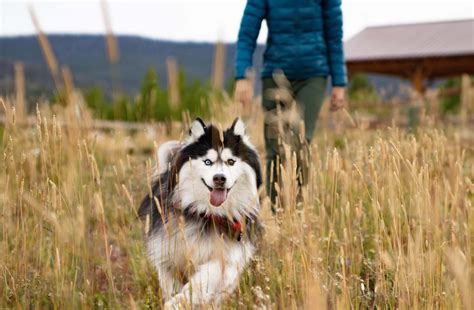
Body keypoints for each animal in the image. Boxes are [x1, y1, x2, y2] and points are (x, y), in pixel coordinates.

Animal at [139, 117, 262, 306]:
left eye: (231, 161)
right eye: (207, 162)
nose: (219, 178)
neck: (208, 214)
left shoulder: (229, 255)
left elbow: (207, 277)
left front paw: (181, 300)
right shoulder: (167, 252)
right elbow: (170, 280)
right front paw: (175, 301)